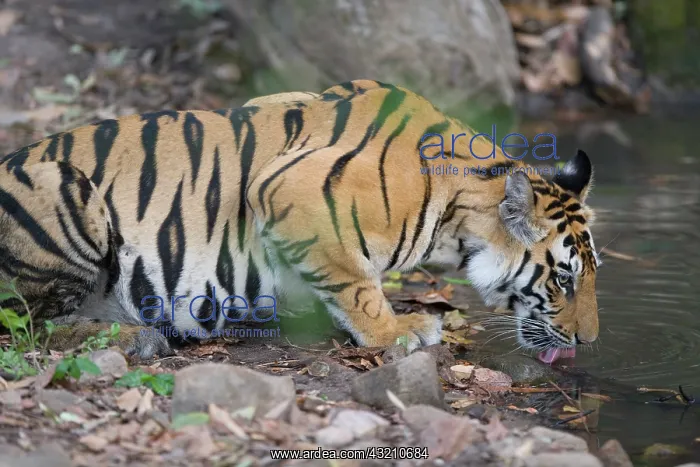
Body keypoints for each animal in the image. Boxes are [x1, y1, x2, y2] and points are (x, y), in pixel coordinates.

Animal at [0, 79, 600, 363]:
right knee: (28, 325)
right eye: (563, 279)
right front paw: (399, 330)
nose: (589, 341)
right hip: (63, 186)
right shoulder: (290, 190)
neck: (457, 214)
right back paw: (136, 337)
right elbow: (357, 283)